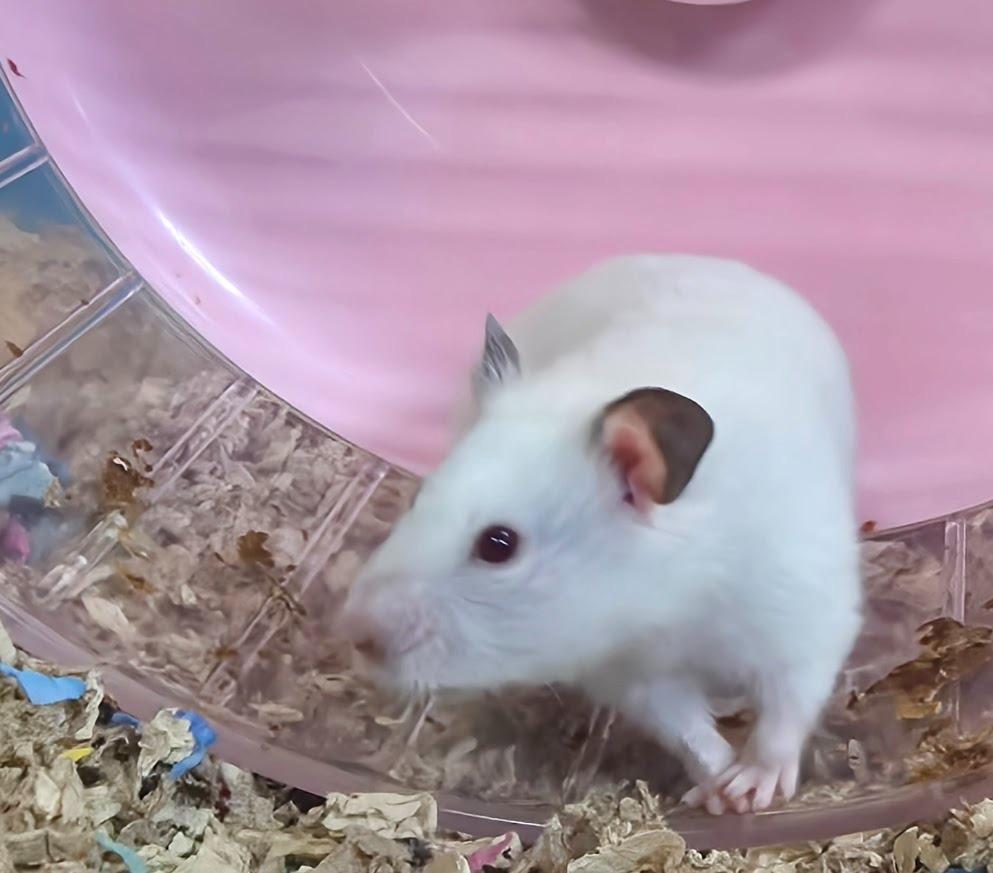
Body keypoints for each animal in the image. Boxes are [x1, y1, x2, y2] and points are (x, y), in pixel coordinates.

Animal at [341, 255, 863, 815]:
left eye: (499, 545)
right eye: (418, 497)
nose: (355, 636)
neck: (675, 599)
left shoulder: (804, 617)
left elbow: (788, 706)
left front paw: (748, 792)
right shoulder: (632, 675)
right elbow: (685, 730)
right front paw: (714, 794)